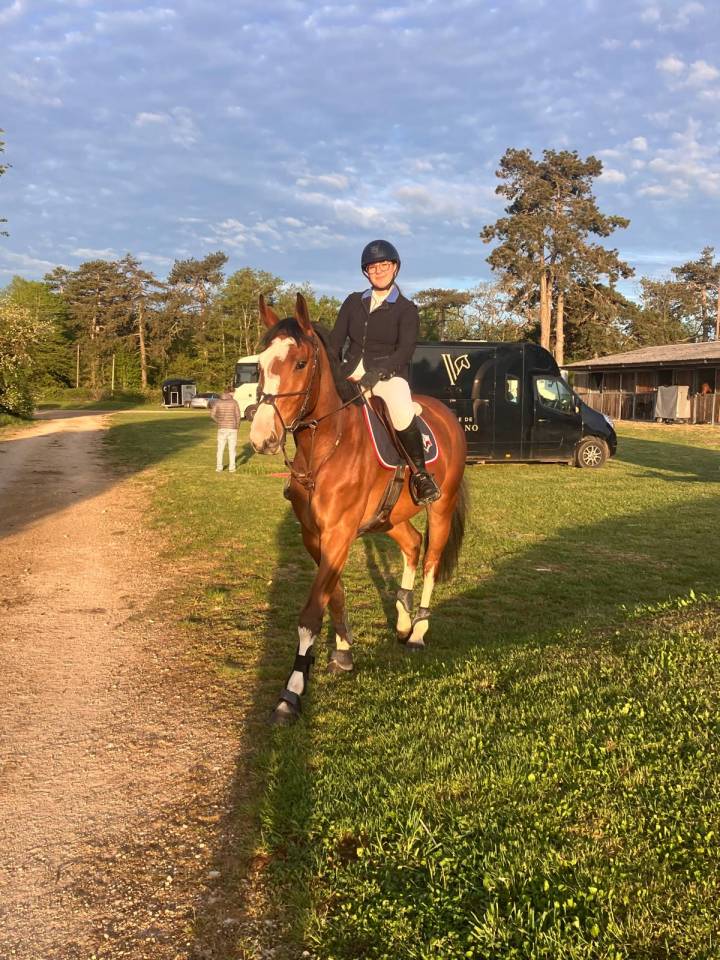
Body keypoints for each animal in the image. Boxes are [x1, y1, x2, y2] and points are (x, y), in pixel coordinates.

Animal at [250, 293, 468, 725]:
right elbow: (334, 595)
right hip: (390, 518)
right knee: (412, 544)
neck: (327, 445)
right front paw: (344, 654)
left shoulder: (338, 534)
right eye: (262, 363)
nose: (261, 437)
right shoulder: (315, 536)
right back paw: (402, 621)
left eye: (300, 363)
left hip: (441, 507)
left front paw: (292, 692)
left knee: (431, 560)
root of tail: (447, 415)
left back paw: (418, 632)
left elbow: (310, 613)